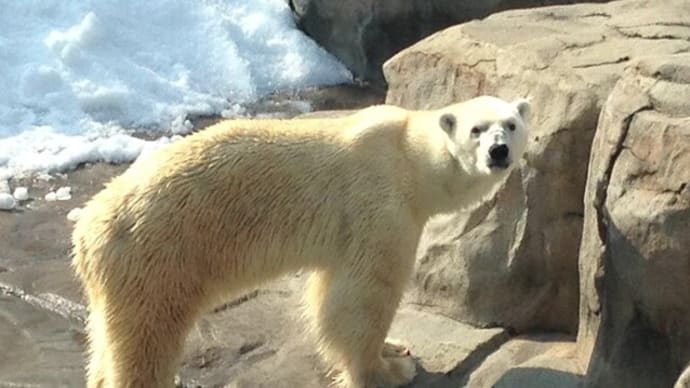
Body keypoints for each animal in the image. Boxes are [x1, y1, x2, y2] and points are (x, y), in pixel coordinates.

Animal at [71, 94, 528, 388]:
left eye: (512, 124)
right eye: (476, 129)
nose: (499, 151)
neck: (408, 158)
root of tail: (87, 229)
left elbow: (332, 292)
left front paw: (396, 349)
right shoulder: (381, 207)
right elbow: (362, 298)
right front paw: (388, 370)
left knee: (108, 343)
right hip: (158, 257)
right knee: (147, 341)